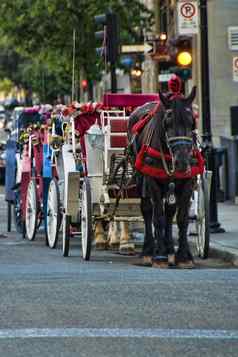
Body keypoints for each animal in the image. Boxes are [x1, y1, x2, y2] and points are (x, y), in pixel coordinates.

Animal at [127, 87, 202, 268]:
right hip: (141, 178)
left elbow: (181, 218)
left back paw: (169, 248)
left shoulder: (188, 182)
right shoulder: (153, 182)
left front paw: (184, 255)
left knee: (169, 212)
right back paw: (149, 250)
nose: (182, 161)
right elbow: (158, 217)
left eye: (192, 122)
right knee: (148, 210)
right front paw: (159, 255)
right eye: (167, 123)